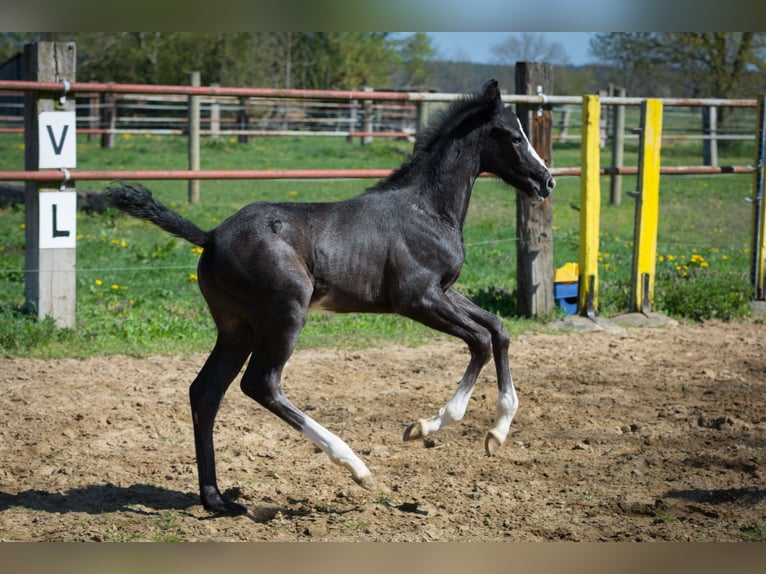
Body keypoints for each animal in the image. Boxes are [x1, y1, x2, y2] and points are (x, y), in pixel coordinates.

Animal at [105, 79, 555, 515]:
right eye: (514, 136)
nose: (547, 181)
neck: (426, 209)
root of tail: (211, 235)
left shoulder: (444, 291)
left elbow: (498, 329)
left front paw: (497, 433)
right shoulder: (417, 299)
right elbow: (479, 341)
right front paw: (426, 427)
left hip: (237, 327)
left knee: (205, 391)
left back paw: (218, 501)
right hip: (285, 315)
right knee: (261, 384)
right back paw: (356, 467)